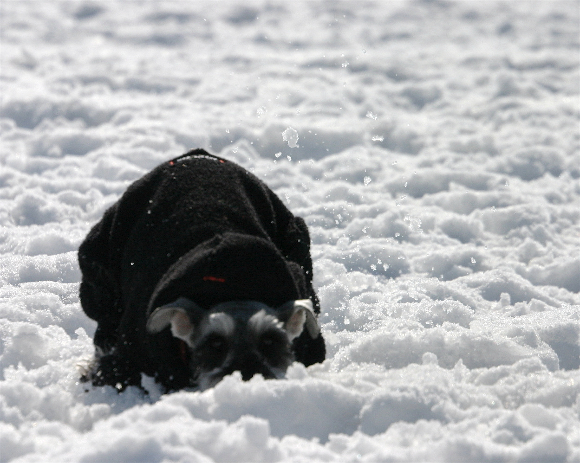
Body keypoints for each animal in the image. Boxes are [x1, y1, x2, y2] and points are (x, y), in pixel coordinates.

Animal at [78, 150, 326, 392]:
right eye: (215, 343)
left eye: (270, 341)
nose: (246, 379)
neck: (232, 283)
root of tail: (196, 157)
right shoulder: (126, 360)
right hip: (97, 271)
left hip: (297, 240)